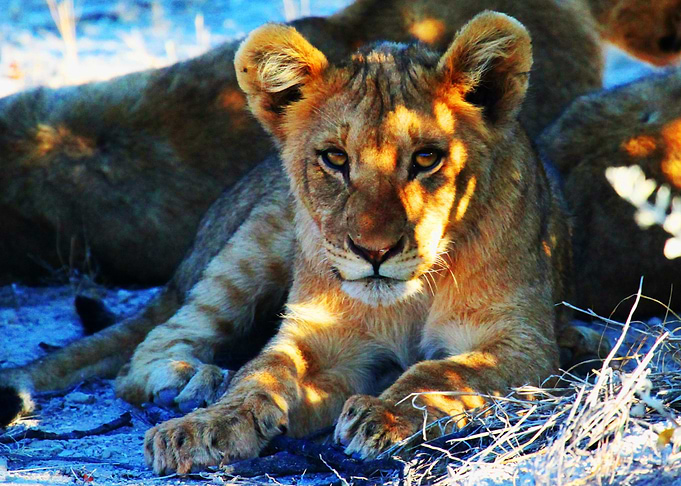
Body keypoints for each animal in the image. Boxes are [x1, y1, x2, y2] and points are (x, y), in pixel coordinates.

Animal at [2, 12, 585, 473]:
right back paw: (194, 384)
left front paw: (381, 414)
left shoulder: (524, 345)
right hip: (252, 247)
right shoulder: (315, 336)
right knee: (149, 351)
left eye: (426, 158)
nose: (373, 252)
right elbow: (262, 372)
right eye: (334, 158)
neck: (408, 300)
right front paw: (204, 426)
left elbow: (442, 369)